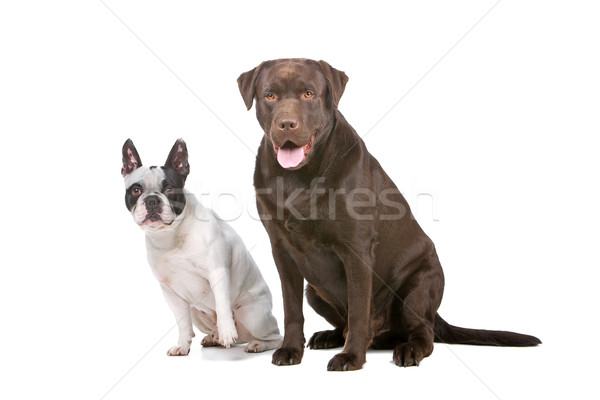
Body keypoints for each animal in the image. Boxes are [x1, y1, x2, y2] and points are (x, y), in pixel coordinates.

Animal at [122, 139, 284, 354]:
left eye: (169, 189)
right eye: (136, 190)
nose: (152, 200)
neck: (172, 234)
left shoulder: (217, 273)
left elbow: (222, 305)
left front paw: (226, 332)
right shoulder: (171, 292)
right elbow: (182, 323)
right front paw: (182, 346)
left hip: (252, 315)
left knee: (275, 336)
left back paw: (256, 343)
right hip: (197, 313)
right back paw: (213, 337)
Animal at [237, 57, 540, 370]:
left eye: (308, 94)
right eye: (270, 96)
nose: (286, 124)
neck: (299, 178)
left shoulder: (356, 249)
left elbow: (359, 311)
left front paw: (351, 357)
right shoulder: (282, 251)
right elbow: (291, 309)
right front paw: (290, 349)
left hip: (417, 287)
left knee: (422, 333)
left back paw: (407, 349)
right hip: (315, 292)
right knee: (352, 326)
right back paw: (329, 336)